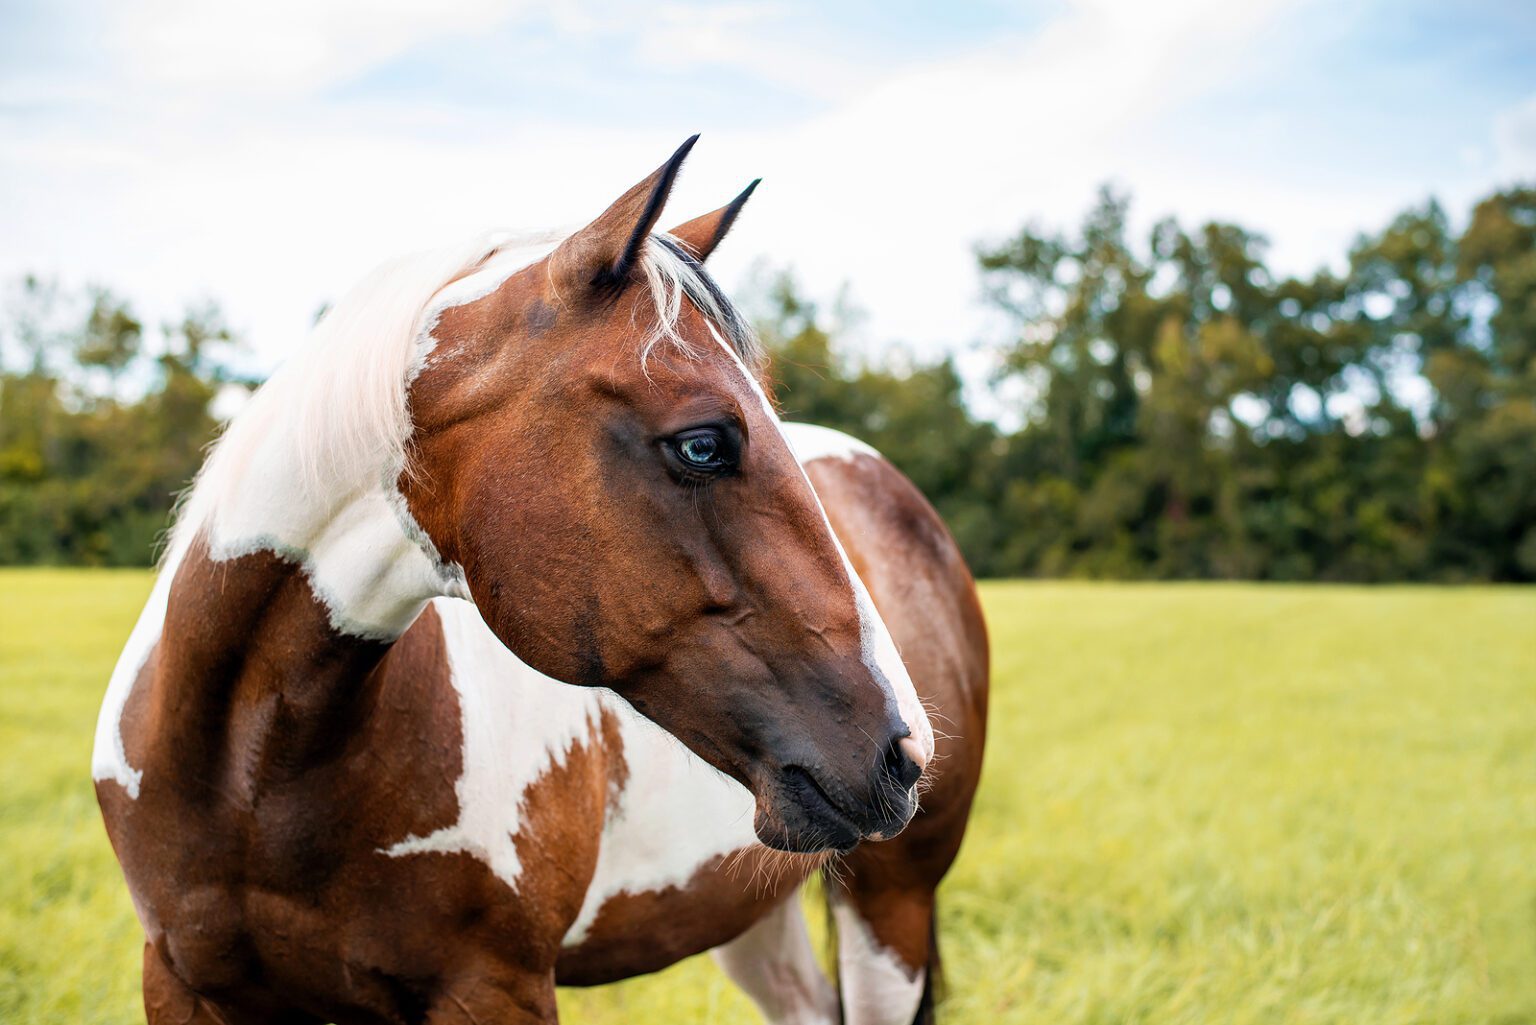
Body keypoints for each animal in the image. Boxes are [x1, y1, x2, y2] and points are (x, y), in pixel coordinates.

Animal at [96, 138, 989, 1025]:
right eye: (704, 443)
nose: (906, 748)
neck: (249, 781)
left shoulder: (495, 987)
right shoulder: (178, 982)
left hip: (891, 909)